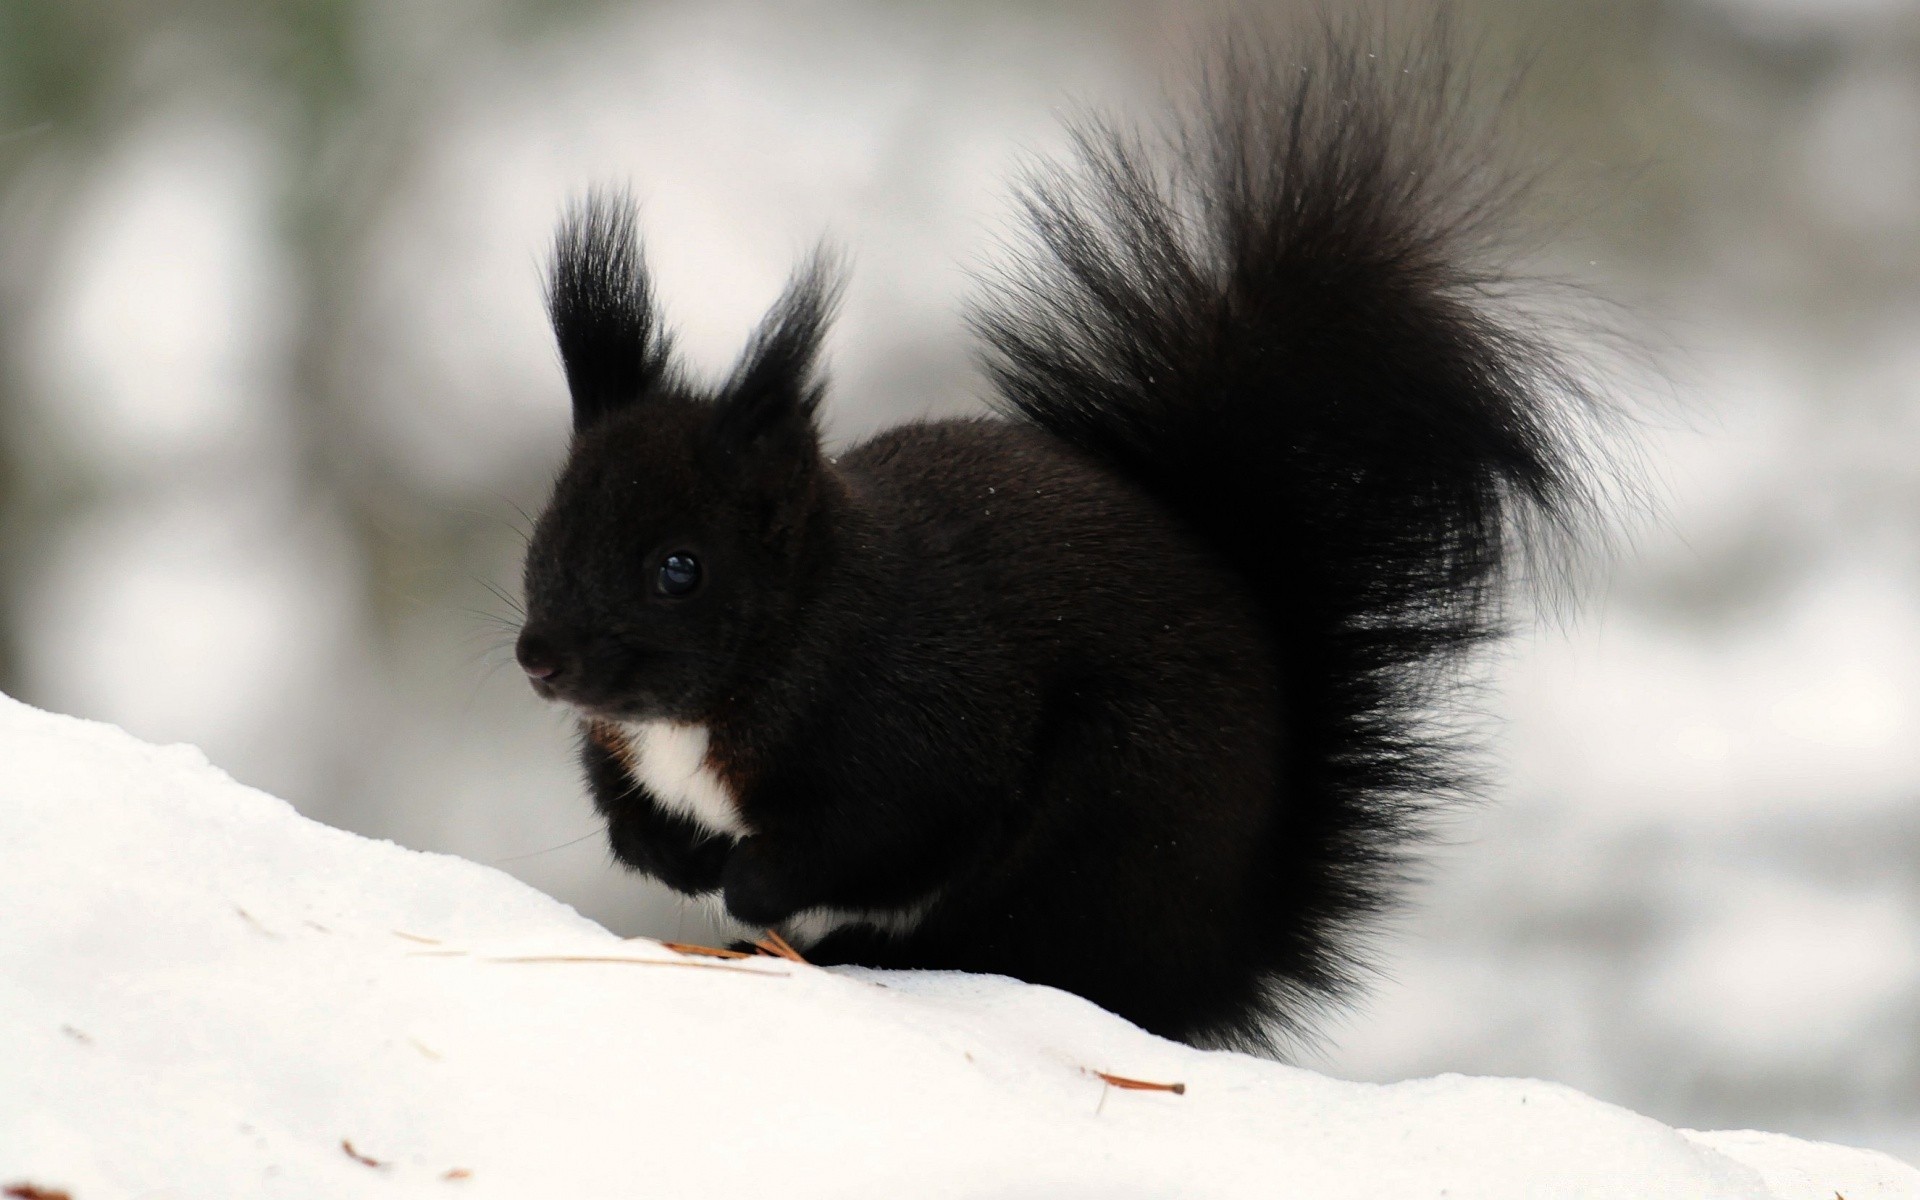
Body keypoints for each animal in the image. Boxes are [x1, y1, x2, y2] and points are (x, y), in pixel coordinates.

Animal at [510, 18, 1605, 1044]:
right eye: (546, 535)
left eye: (679, 569)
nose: (540, 661)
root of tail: (1222, 953)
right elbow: (625, 808)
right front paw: (671, 855)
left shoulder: (921, 731)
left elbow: (875, 838)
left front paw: (745, 883)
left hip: (1104, 823)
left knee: (1020, 947)